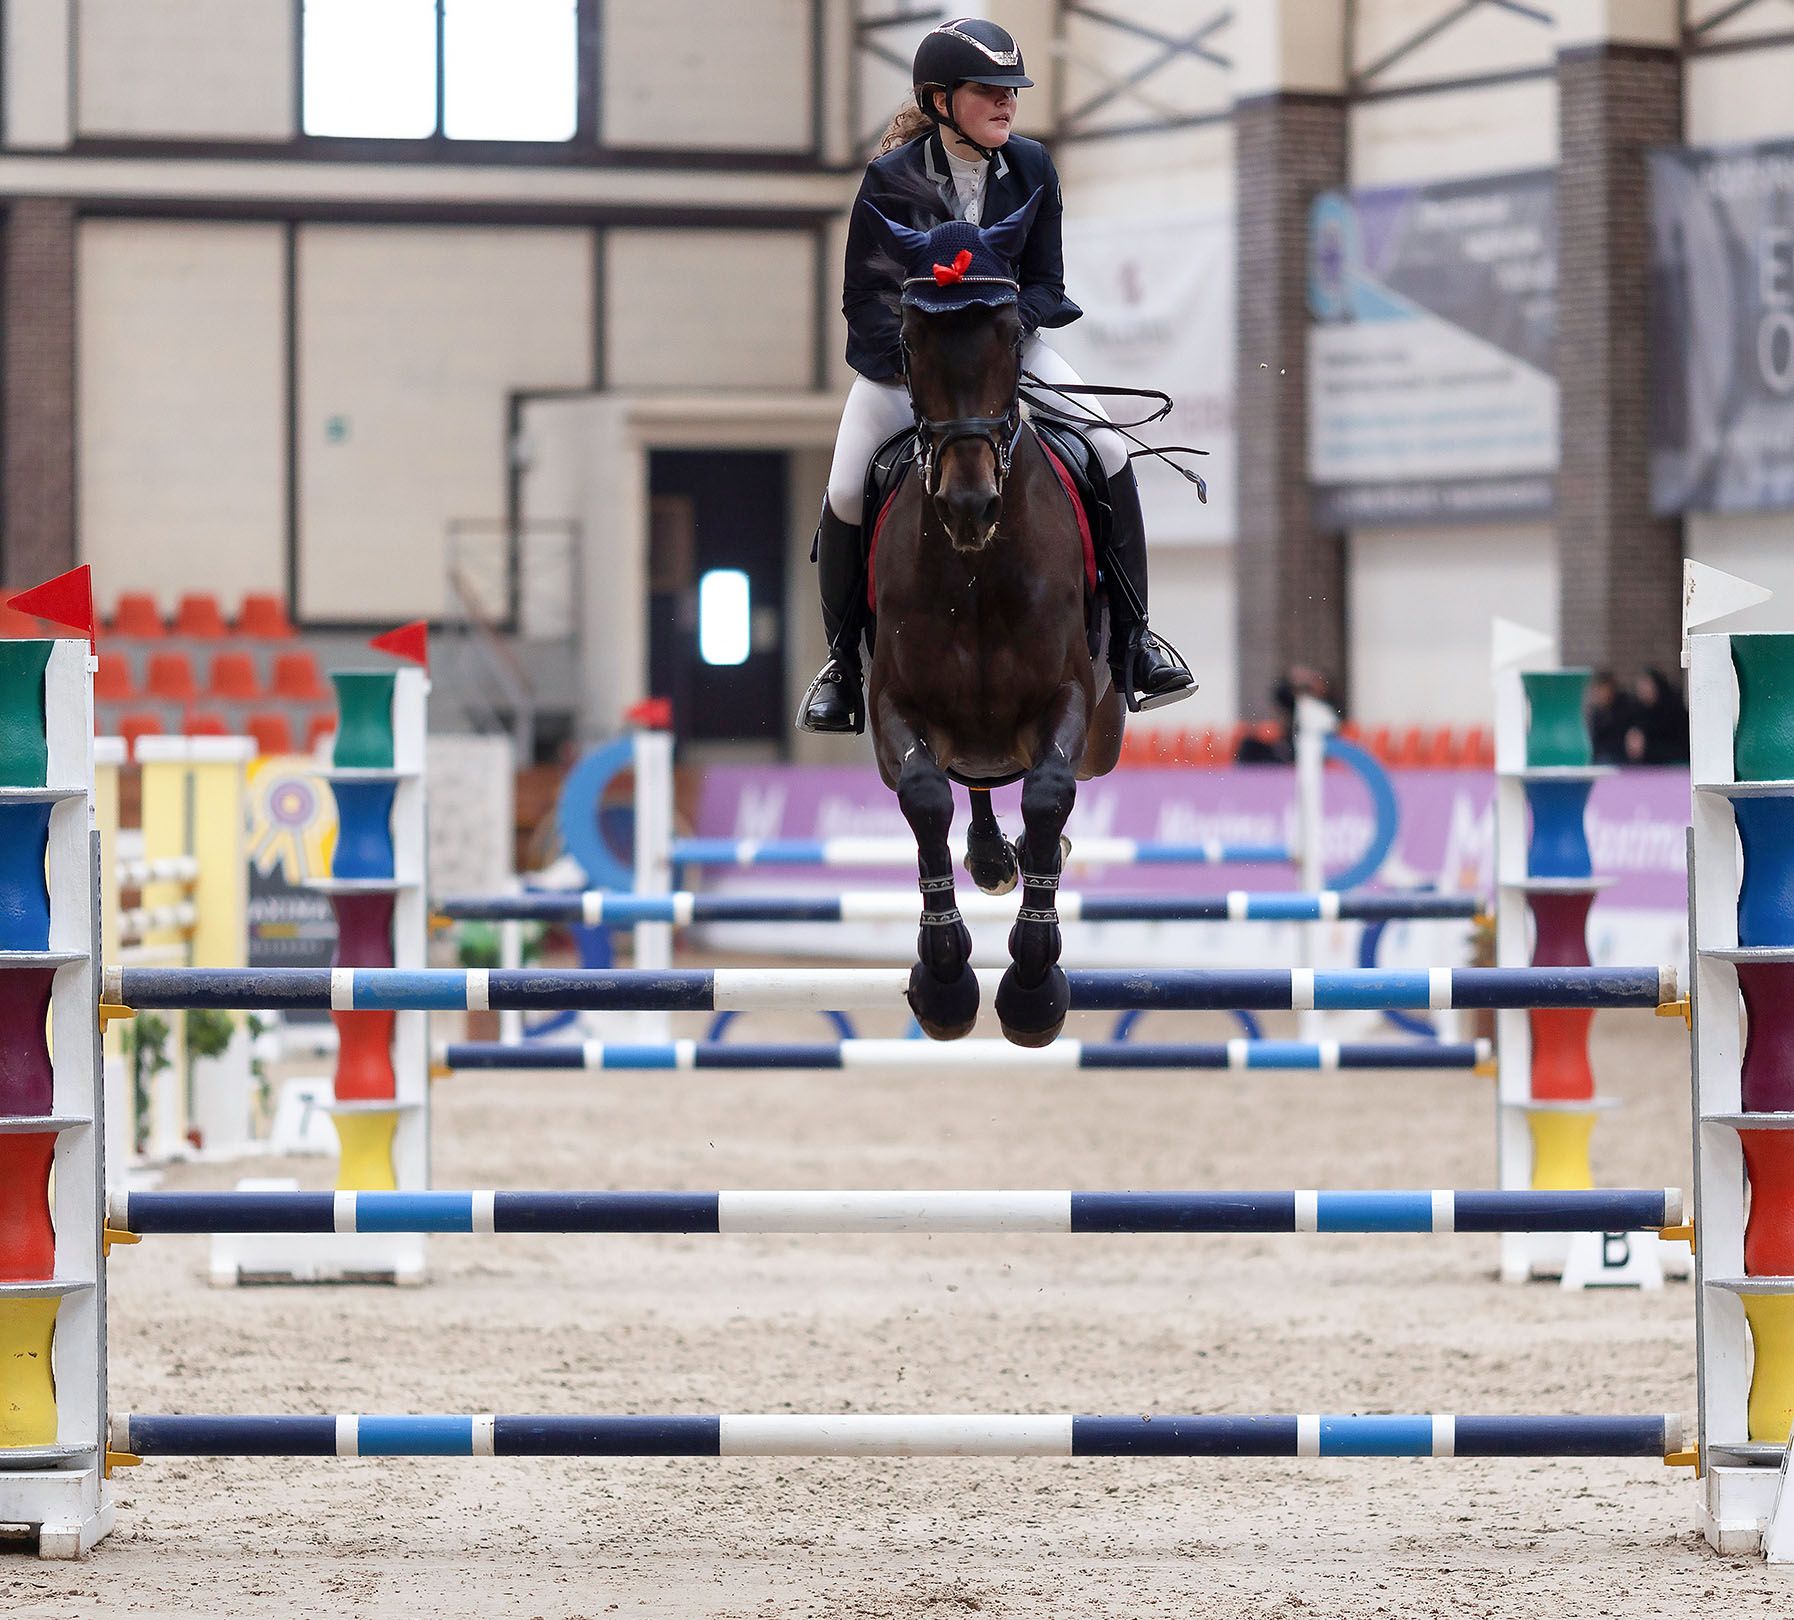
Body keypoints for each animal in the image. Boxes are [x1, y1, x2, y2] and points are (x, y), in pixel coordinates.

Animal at [861, 192, 1112, 1054]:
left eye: (1007, 333)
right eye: (908, 339)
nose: (970, 506)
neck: (976, 568)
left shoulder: (1070, 696)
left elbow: (1047, 793)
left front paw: (1034, 984)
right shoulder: (896, 706)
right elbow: (925, 797)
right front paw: (945, 979)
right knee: (969, 786)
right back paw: (990, 858)